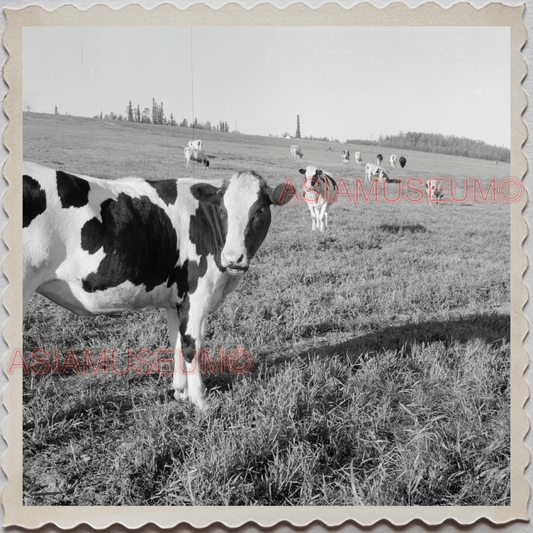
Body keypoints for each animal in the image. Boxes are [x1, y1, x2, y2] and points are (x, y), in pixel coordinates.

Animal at [22, 161, 294, 408]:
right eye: (222, 209)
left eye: (260, 211)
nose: (233, 258)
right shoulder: (198, 294)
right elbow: (192, 345)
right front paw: (200, 401)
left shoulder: (176, 299)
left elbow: (176, 342)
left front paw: (180, 392)